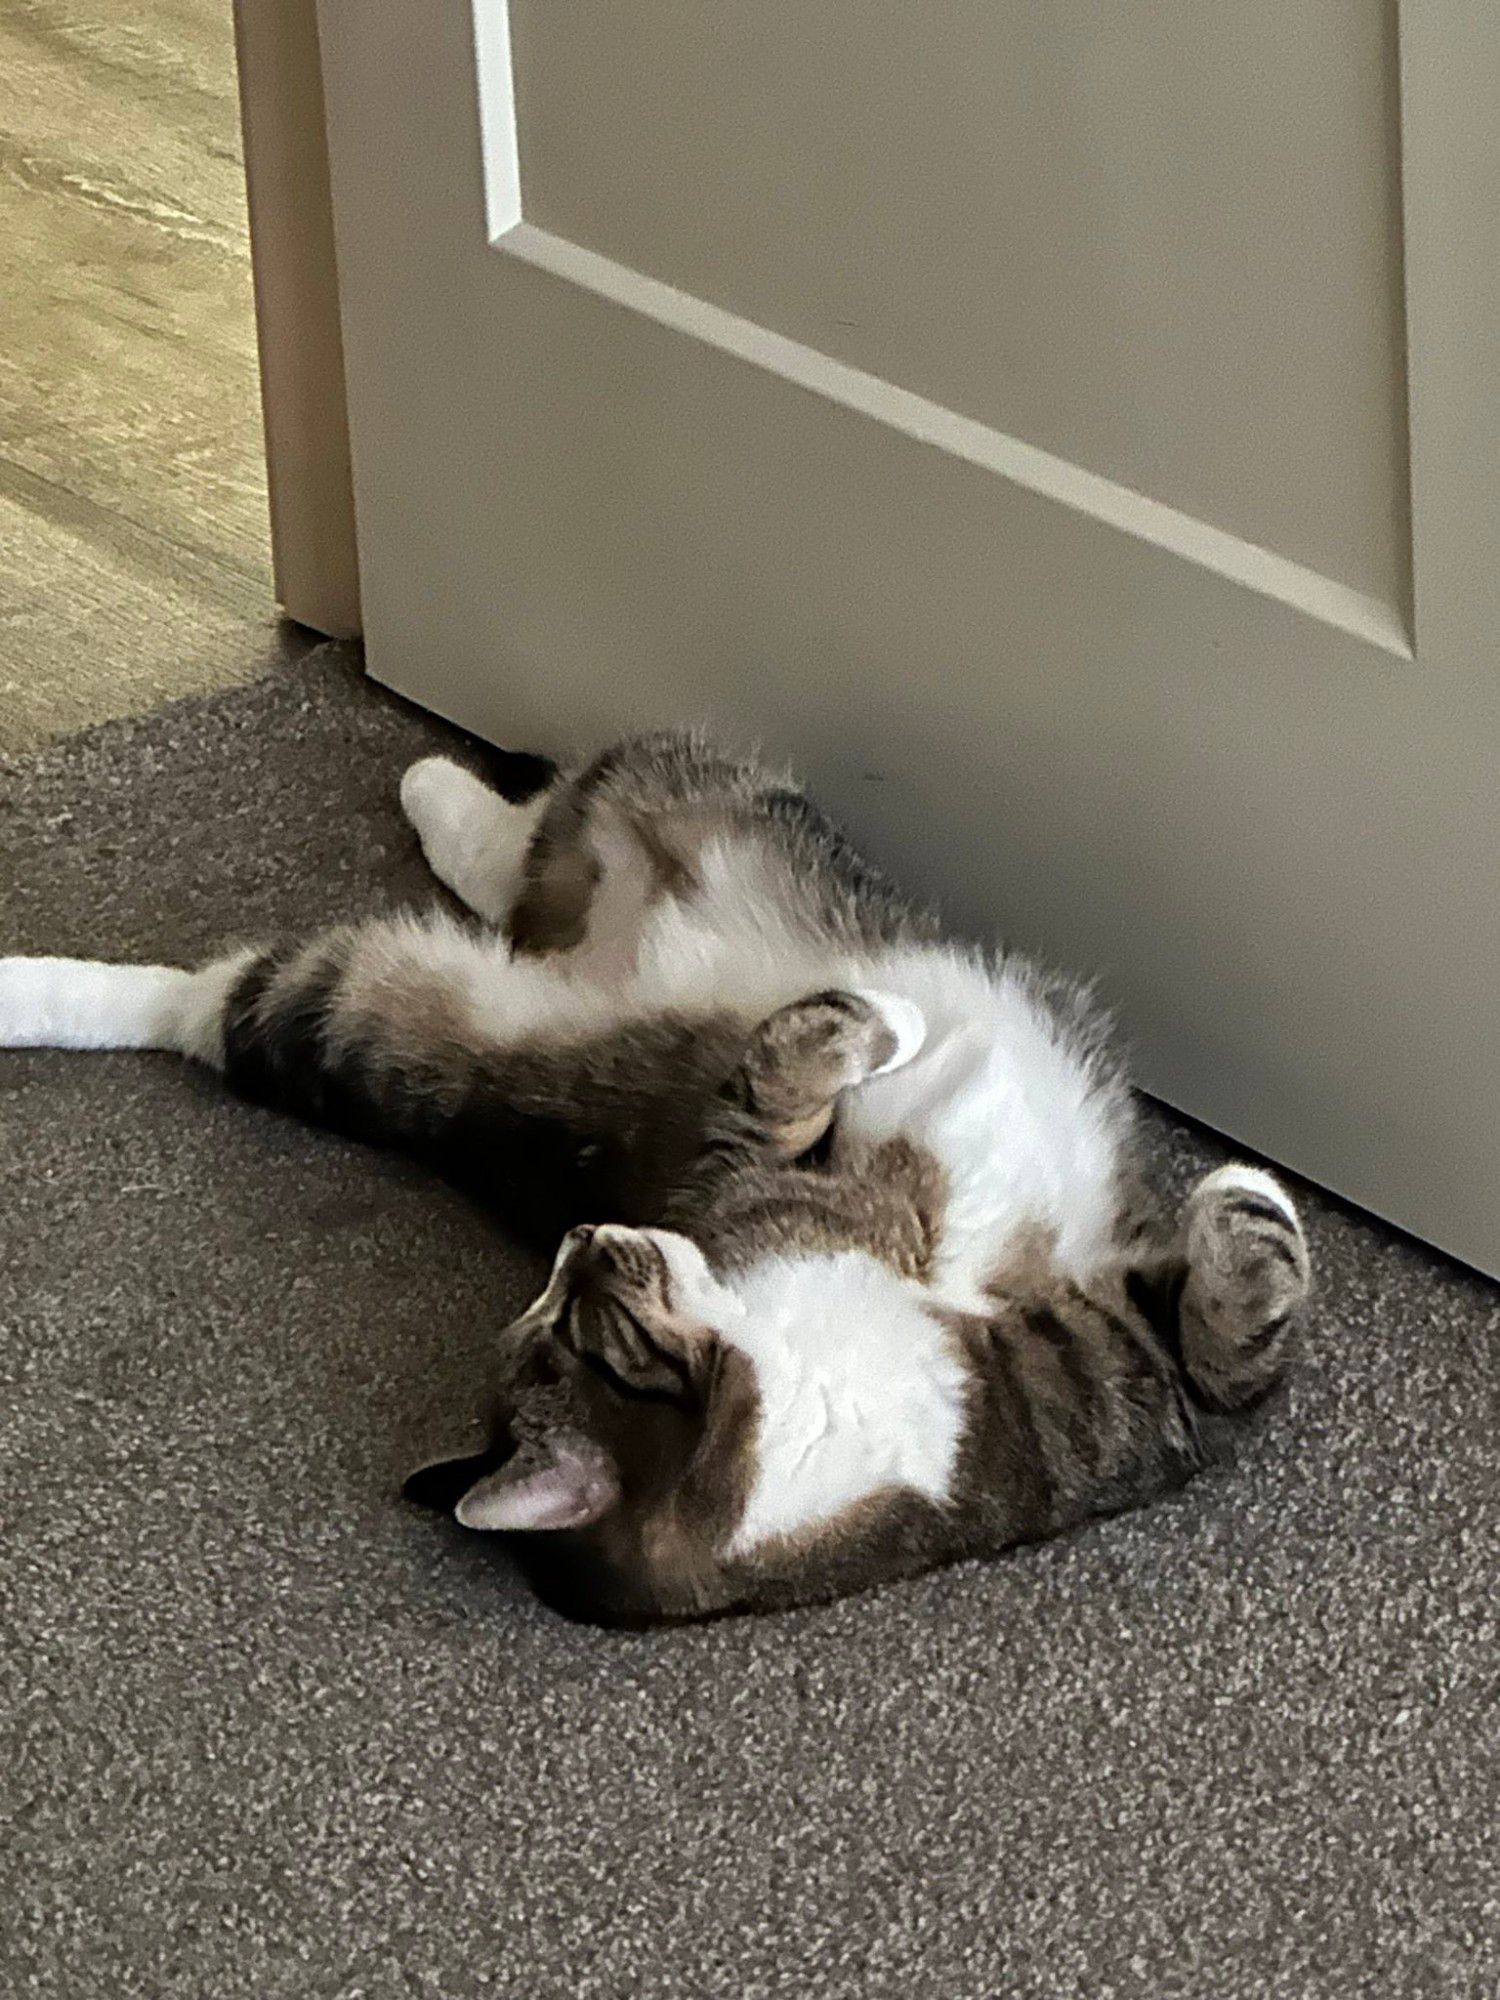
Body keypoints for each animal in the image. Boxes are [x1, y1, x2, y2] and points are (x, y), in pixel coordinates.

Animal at [0, 736, 1312, 1624]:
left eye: (556, 1300)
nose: (586, 1230)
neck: (827, 1387)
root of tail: (582, 951)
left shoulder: (1117, 1361)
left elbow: (1228, 1356)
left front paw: (1241, 1216)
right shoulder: (757, 1155)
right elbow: (796, 1060)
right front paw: (881, 1025)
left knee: (509, 863)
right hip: (367, 1014)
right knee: (212, 996)